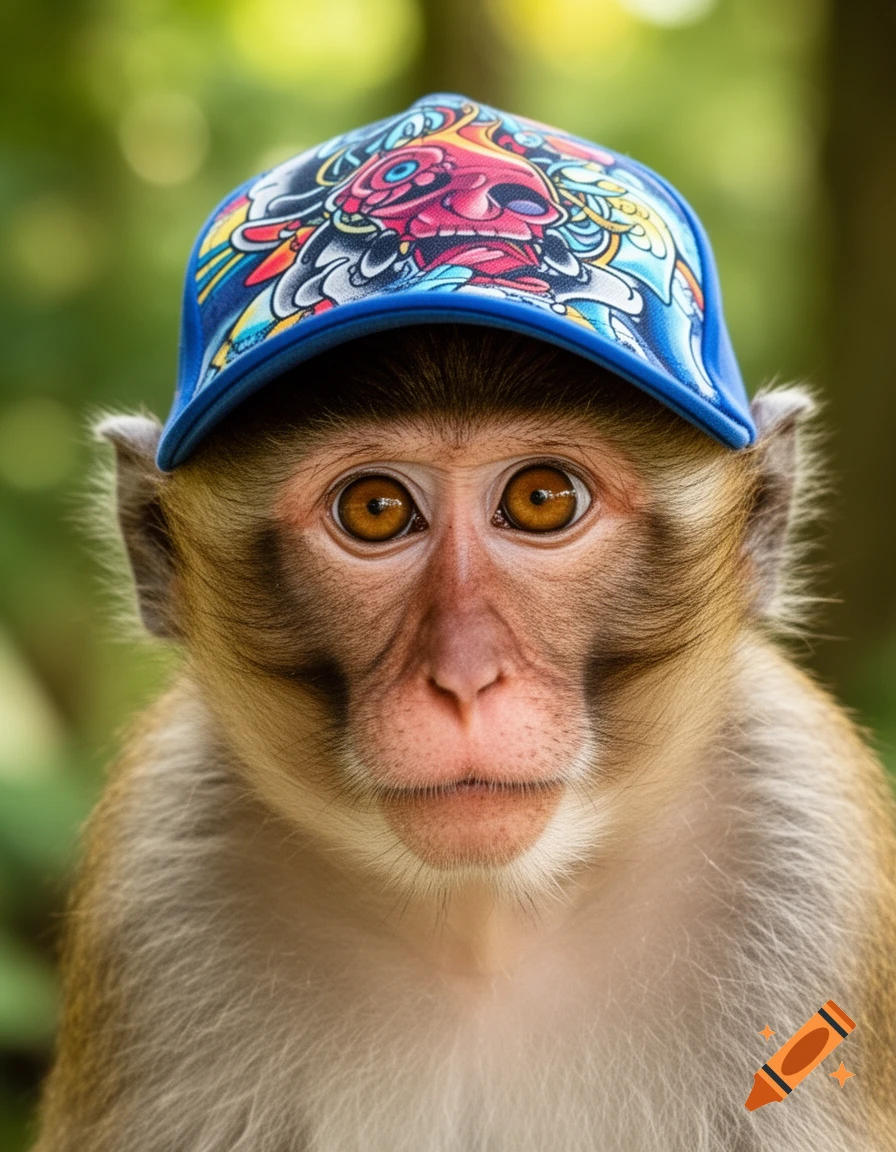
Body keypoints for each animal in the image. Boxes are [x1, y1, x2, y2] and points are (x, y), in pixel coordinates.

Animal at [30, 323, 896, 1152]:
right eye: (375, 509)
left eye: (542, 498)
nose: (465, 677)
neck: (487, 923)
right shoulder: (157, 884)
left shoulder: (807, 849)